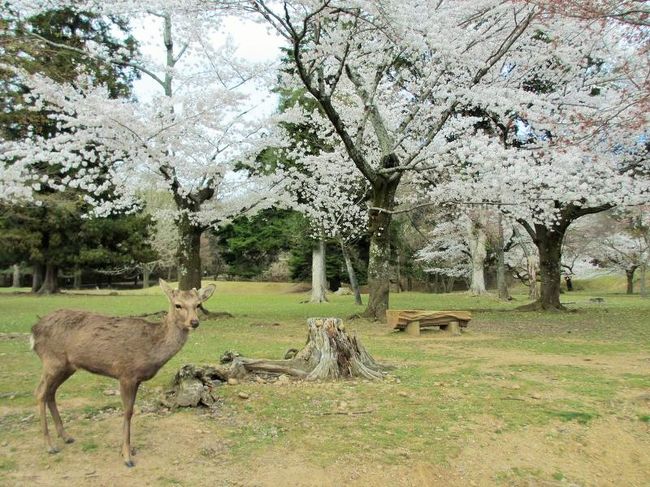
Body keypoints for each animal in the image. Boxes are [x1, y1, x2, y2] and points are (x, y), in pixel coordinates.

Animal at [30, 279, 216, 467]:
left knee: (50, 392)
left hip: (67, 366)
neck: (152, 348)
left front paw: (126, 450)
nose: (194, 322)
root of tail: (33, 331)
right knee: (40, 392)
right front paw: (127, 456)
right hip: (52, 361)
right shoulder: (126, 374)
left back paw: (66, 436)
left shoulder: (136, 379)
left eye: (198, 304)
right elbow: (128, 412)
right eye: (178, 305)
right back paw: (50, 445)